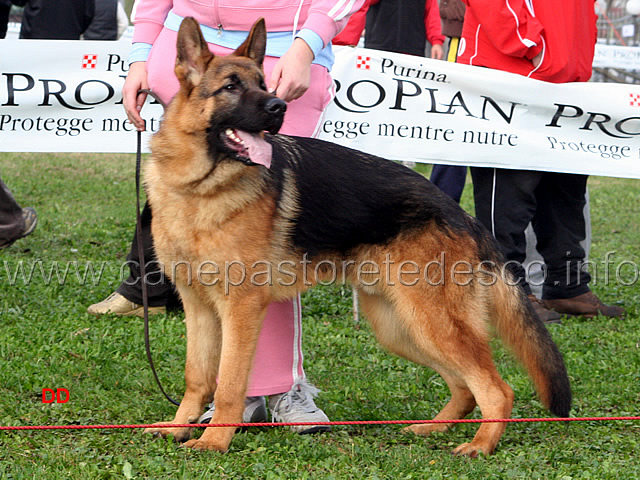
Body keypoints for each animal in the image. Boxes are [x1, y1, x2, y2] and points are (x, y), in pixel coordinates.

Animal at [144, 16, 568, 456]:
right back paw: (433, 428)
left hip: (432, 323)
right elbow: (197, 376)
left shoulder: (240, 309)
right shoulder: (198, 307)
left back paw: (480, 445)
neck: (200, 188)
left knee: (497, 389)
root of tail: (462, 215)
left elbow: (228, 382)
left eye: (264, 84)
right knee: (464, 386)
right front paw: (179, 427)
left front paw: (215, 440)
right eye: (230, 86)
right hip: (402, 328)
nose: (279, 107)